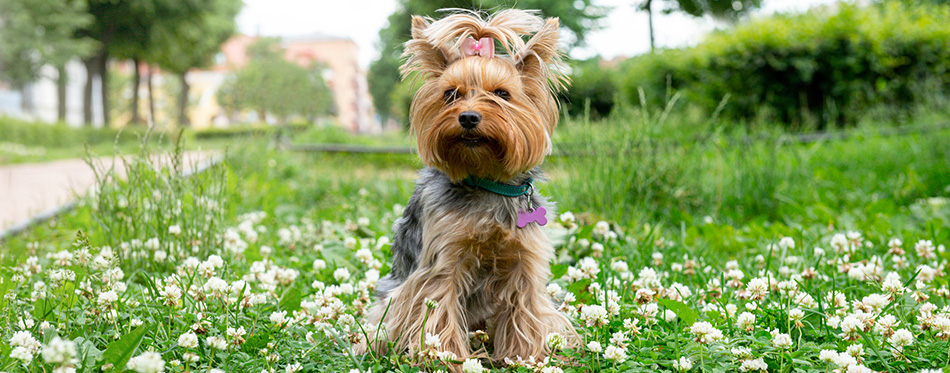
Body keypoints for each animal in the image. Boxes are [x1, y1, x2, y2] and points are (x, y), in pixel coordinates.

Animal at [360, 8, 576, 366]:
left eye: (502, 94)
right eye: (450, 94)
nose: (468, 117)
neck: (487, 181)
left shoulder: (525, 260)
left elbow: (527, 308)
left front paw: (527, 356)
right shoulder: (444, 259)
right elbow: (438, 309)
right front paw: (446, 358)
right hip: (389, 301)